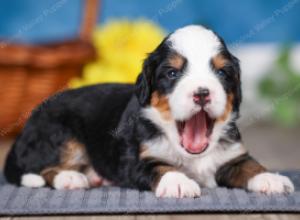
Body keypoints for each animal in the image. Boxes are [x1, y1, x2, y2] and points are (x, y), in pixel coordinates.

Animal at [4, 24, 294, 197]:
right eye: (172, 73)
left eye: (222, 72)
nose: (202, 93)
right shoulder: (136, 159)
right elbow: (162, 167)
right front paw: (178, 182)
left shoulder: (231, 155)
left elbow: (250, 165)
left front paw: (270, 178)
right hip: (60, 134)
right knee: (42, 170)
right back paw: (71, 178)